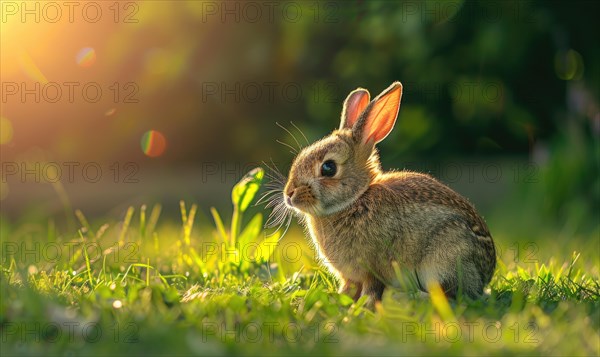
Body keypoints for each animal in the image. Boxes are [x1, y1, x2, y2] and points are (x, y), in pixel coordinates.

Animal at [282, 81, 496, 306]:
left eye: (328, 168)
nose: (289, 194)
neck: (355, 199)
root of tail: (484, 276)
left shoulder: (373, 269)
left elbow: (371, 289)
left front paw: (362, 307)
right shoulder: (351, 276)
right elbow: (349, 288)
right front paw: (337, 300)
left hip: (445, 259)